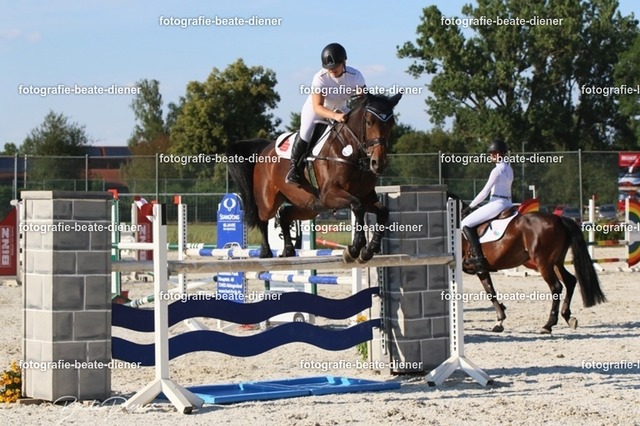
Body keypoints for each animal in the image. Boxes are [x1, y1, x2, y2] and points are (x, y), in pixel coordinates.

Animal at [227, 92, 402, 263]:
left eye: (391, 123)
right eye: (369, 122)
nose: (379, 163)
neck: (352, 153)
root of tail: (265, 148)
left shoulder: (365, 196)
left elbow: (383, 212)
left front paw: (369, 250)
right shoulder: (329, 194)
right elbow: (358, 207)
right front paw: (354, 249)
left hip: (309, 206)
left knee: (284, 214)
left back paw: (288, 250)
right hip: (269, 201)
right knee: (263, 218)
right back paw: (265, 252)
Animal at [449, 194, 606, 333]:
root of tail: (559, 219)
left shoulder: (477, 269)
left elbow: (488, 292)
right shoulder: (481, 270)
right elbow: (490, 291)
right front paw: (499, 321)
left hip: (543, 263)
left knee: (556, 287)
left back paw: (548, 325)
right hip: (555, 263)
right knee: (570, 281)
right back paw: (568, 317)